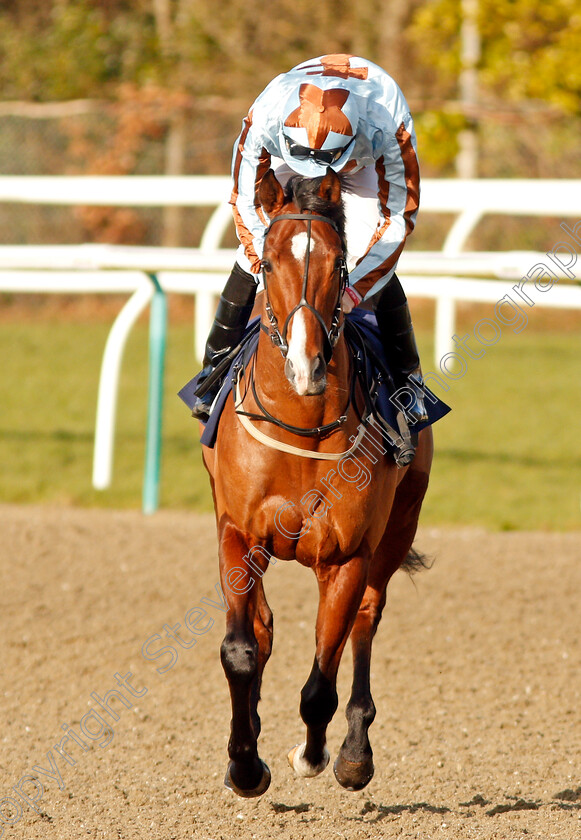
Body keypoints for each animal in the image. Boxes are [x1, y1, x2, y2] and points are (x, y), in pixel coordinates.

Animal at [202, 167, 432, 796]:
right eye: (269, 262)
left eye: (337, 262)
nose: (306, 367)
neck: (302, 427)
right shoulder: (238, 532)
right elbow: (242, 648)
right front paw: (243, 764)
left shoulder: (348, 554)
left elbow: (319, 684)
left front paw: (313, 754)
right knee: (263, 628)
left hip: (398, 528)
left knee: (366, 621)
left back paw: (354, 752)